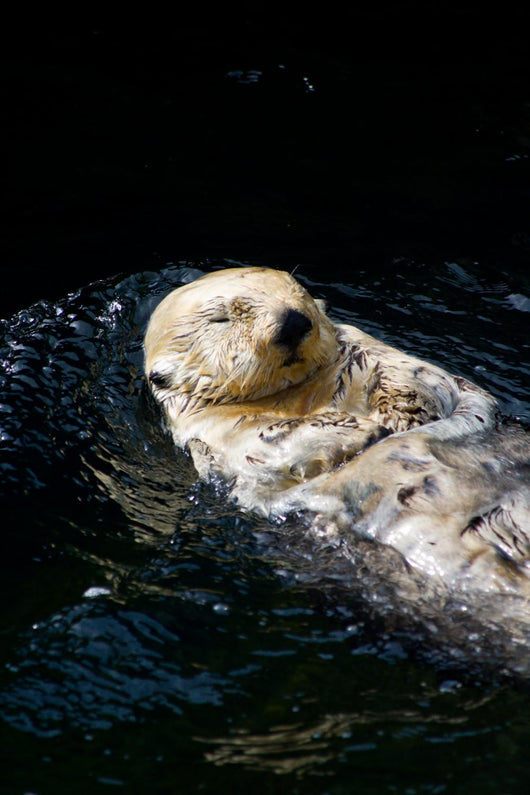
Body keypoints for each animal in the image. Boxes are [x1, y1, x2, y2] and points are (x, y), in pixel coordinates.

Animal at [144, 267, 530, 594]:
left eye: (297, 292)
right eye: (221, 318)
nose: (292, 321)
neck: (295, 394)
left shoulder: (363, 349)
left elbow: (408, 374)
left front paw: (400, 417)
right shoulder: (211, 432)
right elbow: (264, 446)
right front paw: (359, 431)